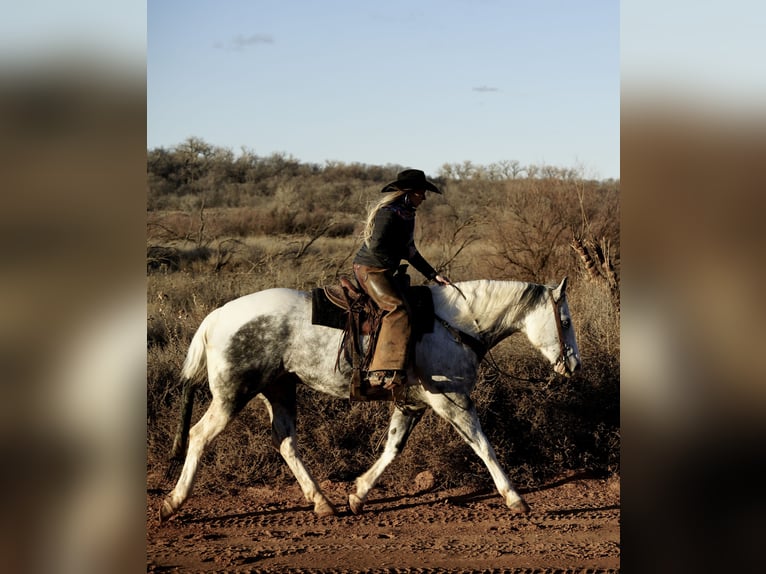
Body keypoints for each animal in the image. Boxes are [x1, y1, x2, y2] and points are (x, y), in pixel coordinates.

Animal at [160, 276, 584, 524]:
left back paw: (322, 502)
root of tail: (216, 317)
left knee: (285, 442)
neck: (455, 325)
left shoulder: (411, 403)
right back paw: (173, 502)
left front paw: (357, 494)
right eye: (564, 321)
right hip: (232, 395)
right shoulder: (452, 400)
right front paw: (516, 499)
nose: (574, 365)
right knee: (199, 435)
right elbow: (484, 446)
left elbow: (392, 449)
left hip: (279, 389)